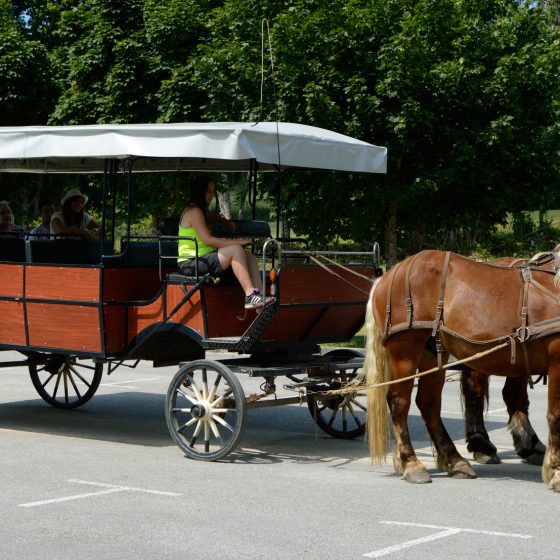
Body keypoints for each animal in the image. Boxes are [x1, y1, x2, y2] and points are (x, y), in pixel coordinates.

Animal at [366, 249, 560, 490]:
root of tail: (389, 275)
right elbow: (555, 415)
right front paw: (555, 471)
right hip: (405, 352)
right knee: (399, 402)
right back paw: (411, 463)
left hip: (433, 354)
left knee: (429, 403)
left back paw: (454, 460)